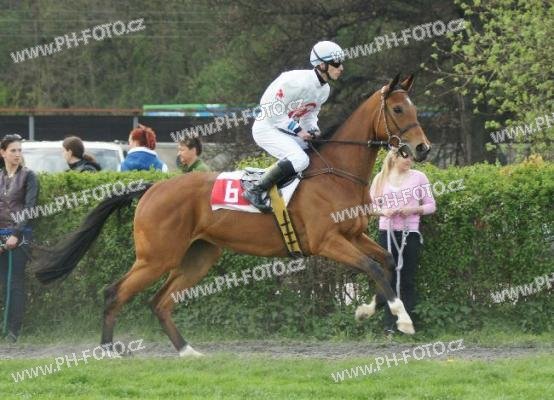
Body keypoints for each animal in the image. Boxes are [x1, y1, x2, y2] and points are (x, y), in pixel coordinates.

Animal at [31, 73, 431, 357]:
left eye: (414, 108)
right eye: (398, 110)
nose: (423, 149)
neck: (337, 172)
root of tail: (152, 189)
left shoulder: (352, 235)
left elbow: (385, 260)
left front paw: (368, 310)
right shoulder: (327, 241)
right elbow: (373, 266)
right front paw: (403, 320)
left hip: (198, 257)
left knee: (159, 302)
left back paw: (188, 352)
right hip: (157, 257)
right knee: (115, 292)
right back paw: (108, 351)